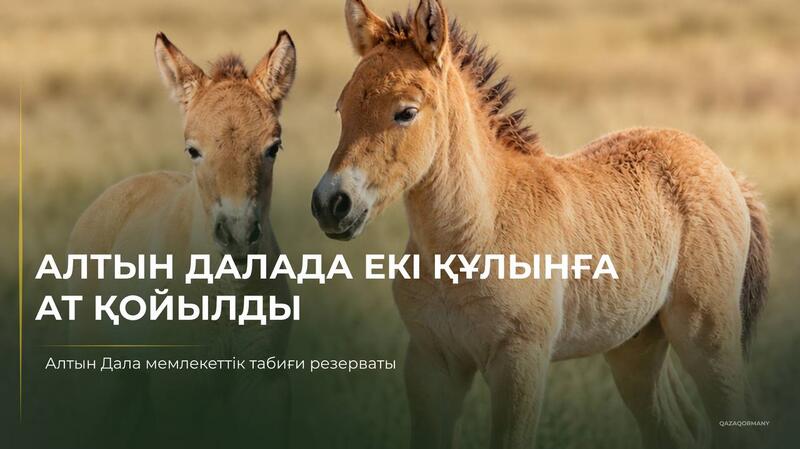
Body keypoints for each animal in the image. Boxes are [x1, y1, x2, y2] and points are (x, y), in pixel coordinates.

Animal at [66, 31, 297, 447]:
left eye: (273, 147)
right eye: (193, 149)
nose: (238, 234)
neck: (228, 294)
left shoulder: (265, 383)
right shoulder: (177, 387)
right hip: (99, 379)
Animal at [311, 1, 770, 448]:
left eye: (406, 112)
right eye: (341, 107)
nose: (331, 203)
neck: (471, 240)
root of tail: (725, 171)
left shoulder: (520, 362)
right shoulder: (431, 362)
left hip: (707, 336)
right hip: (635, 346)